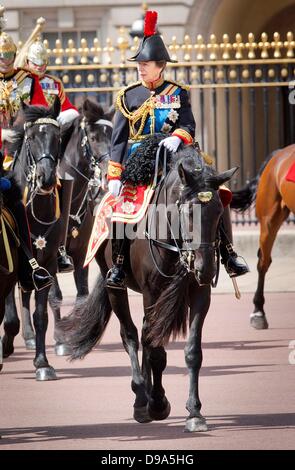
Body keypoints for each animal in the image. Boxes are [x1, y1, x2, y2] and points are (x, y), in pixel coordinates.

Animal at [48, 99, 113, 354]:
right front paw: (59, 339)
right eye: (93, 137)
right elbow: (55, 296)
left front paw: (76, 333)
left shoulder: (82, 254)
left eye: (112, 135)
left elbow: (82, 296)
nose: (108, 174)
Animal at [58, 135, 238, 430]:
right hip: (115, 287)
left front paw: (194, 412)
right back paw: (141, 400)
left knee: (144, 334)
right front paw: (156, 404)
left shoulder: (199, 293)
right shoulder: (151, 292)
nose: (205, 268)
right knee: (130, 335)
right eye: (188, 211)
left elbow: (192, 351)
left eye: (218, 212)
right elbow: (155, 351)